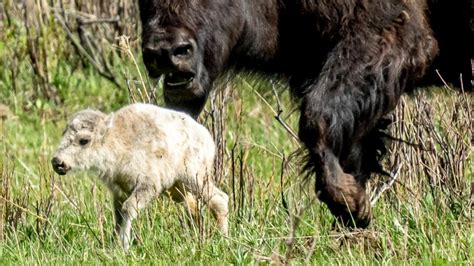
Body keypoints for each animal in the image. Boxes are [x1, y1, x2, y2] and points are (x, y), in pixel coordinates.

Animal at [51, 103, 229, 250]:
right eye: (64, 133)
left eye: (84, 140)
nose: (57, 162)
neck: (116, 141)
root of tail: (206, 136)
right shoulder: (119, 192)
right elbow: (118, 216)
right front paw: (114, 244)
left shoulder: (147, 186)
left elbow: (128, 209)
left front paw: (124, 246)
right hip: (177, 189)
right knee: (194, 208)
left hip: (195, 178)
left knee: (219, 199)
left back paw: (223, 239)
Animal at [137, 0, 452, 229]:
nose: (167, 51)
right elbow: (349, 145)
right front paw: (354, 214)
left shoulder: (386, 36)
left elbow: (317, 118)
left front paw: (351, 204)